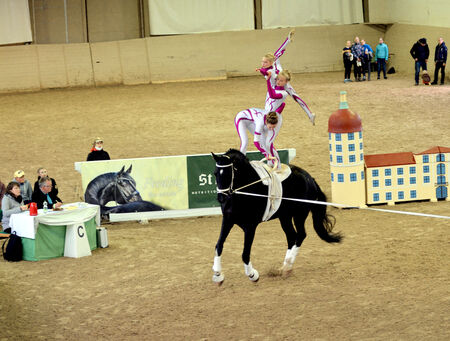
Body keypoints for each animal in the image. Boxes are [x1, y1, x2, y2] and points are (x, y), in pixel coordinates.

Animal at [211, 147, 342, 282]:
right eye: (215, 173)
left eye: (228, 174)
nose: (221, 198)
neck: (243, 193)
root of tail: (310, 178)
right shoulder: (228, 221)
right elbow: (219, 245)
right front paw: (218, 275)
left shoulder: (250, 227)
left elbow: (245, 253)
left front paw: (252, 275)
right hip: (285, 217)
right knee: (292, 236)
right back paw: (284, 268)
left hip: (299, 214)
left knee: (300, 235)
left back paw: (287, 266)